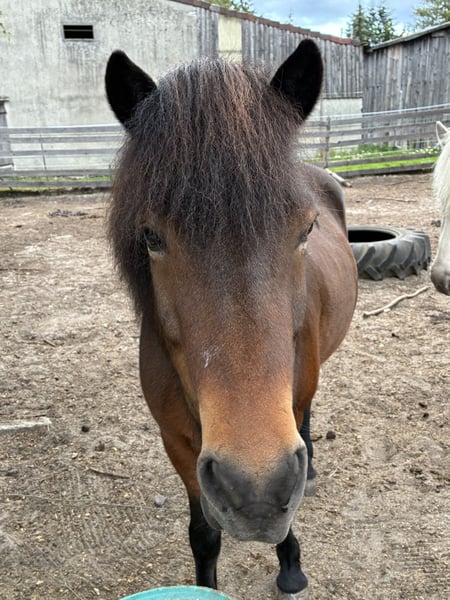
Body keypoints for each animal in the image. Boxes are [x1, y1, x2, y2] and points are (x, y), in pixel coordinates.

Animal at [105, 40, 358, 598]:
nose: (256, 487)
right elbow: (203, 534)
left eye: (307, 228)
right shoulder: (179, 445)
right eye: (151, 237)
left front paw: (291, 565)